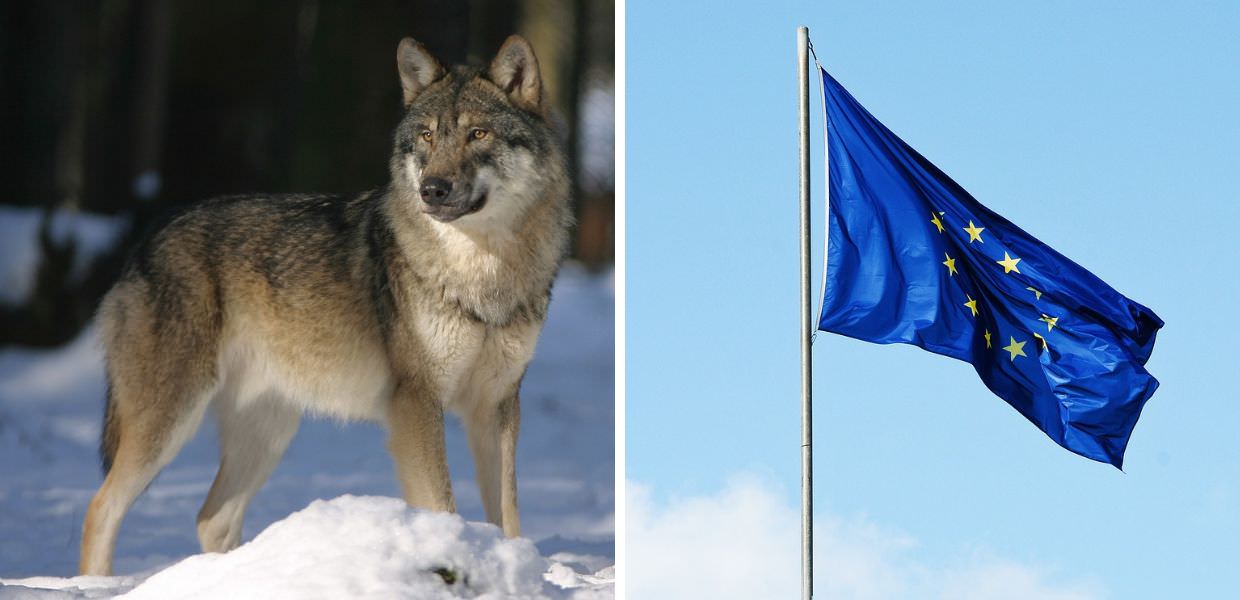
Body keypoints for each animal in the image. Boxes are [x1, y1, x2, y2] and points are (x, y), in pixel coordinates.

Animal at [78, 35, 571, 576]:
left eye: (477, 133)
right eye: (425, 136)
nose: (432, 190)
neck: (482, 274)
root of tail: (147, 239)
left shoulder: (497, 406)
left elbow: (508, 514)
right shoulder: (417, 403)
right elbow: (443, 503)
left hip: (268, 432)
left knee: (211, 518)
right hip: (170, 422)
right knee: (100, 506)